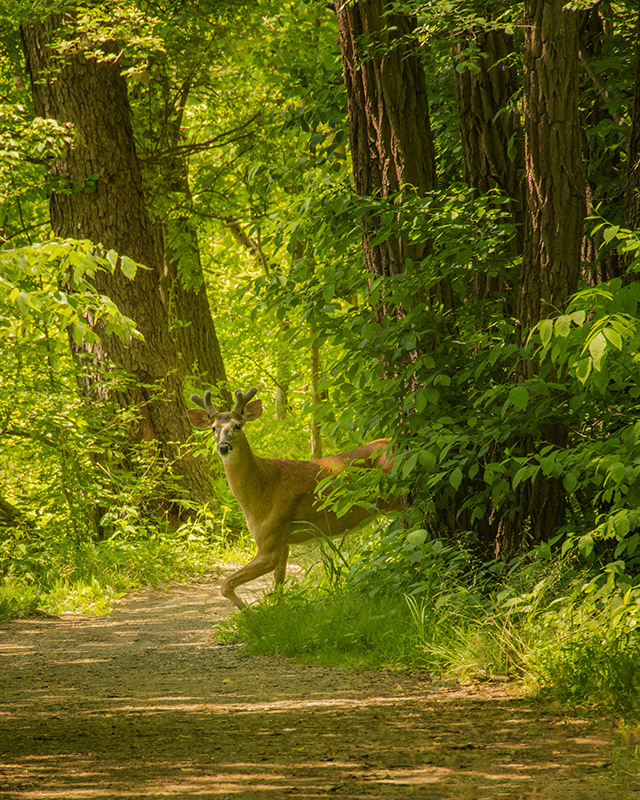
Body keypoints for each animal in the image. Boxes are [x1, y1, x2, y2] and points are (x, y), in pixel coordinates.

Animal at [188, 386, 402, 608]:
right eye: (213, 428)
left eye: (238, 425)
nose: (223, 447)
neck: (260, 491)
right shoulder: (283, 541)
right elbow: (278, 584)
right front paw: (277, 610)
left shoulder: (271, 540)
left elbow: (226, 585)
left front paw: (252, 614)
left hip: (398, 497)